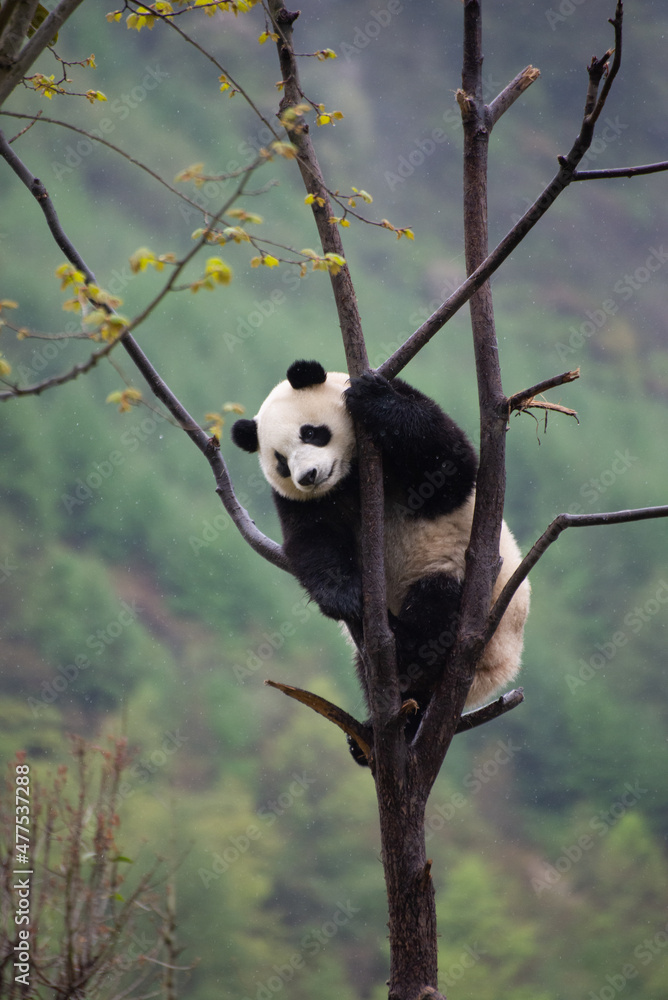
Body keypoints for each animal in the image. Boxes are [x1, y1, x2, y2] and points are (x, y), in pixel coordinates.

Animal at [231, 359, 530, 763]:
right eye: (280, 462)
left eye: (311, 433)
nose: (308, 476)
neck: (347, 476)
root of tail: (496, 675)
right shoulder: (301, 502)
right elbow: (313, 541)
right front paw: (342, 596)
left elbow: (451, 467)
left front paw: (372, 398)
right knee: (381, 675)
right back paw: (376, 727)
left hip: (472, 594)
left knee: (437, 611)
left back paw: (403, 644)